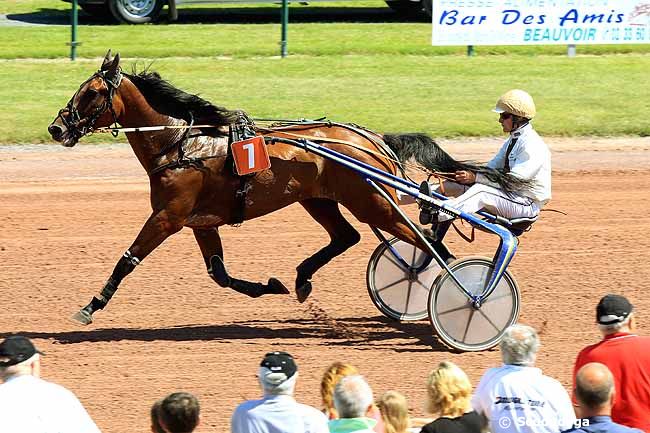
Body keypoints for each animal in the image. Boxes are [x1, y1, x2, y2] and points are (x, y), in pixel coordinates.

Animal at [48, 50, 524, 324]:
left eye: (92, 92)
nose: (56, 128)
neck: (183, 143)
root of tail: (372, 139)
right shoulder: (201, 221)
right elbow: (219, 274)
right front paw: (269, 286)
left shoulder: (168, 216)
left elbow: (127, 259)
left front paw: (90, 307)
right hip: (321, 200)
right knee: (350, 238)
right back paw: (302, 280)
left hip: (372, 202)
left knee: (431, 246)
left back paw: (467, 298)